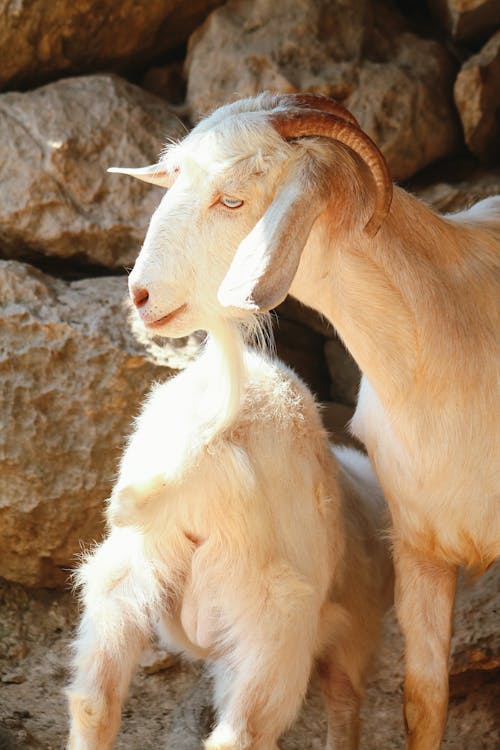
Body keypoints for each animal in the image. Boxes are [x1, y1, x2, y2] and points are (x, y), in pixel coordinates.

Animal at [67, 318, 394, 750]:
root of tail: (200, 446)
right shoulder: (353, 636)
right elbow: (345, 706)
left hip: (128, 573)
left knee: (94, 701)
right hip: (275, 618)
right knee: (240, 735)